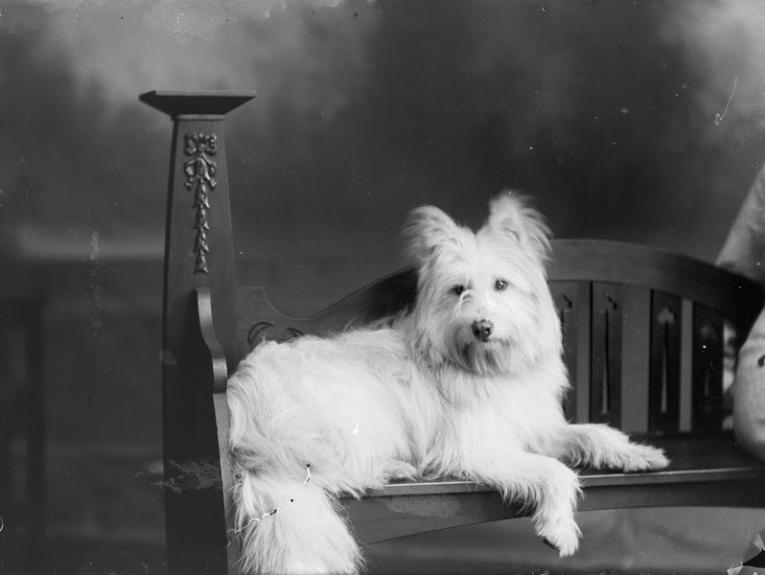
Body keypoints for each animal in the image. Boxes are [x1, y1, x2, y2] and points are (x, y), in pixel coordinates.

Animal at [228, 195, 668, 575]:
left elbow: (594, 432)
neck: (487, 367)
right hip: (353, 411)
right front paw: (559, 527)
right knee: (326, 471)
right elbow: (555, 471)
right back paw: (392, 468)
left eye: (501, 284)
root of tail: (239, 401)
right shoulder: (476, 449)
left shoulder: (536, 428)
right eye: (459, 290)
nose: (482, 327)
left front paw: (637, 453)